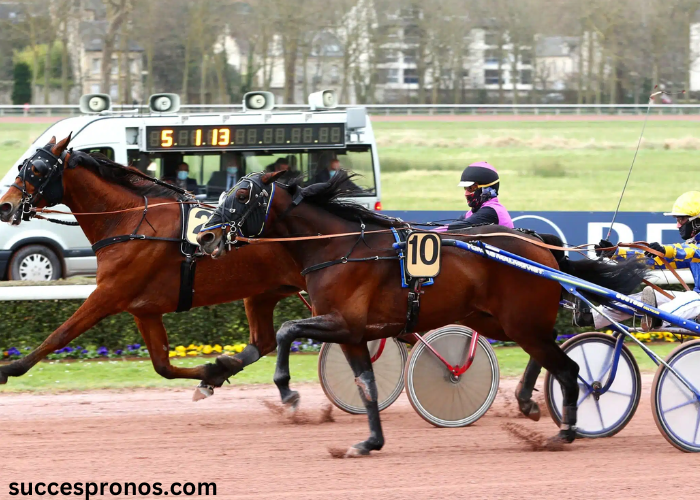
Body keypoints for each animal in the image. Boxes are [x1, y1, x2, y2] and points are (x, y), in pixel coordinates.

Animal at [0, 136, 306, 386]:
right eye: (23, 166)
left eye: (37, 169)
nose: (5, 206)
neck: (130, 220)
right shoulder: (145, 310)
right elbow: (163, 366)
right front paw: (212, 372)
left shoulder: (109, 294)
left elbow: (60, 335)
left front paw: (9, 369)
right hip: (262, 293)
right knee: (263, 341)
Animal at [197, 170, 644, 456]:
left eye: (241, 196)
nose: (205, 236)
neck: (339, 247)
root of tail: (542, 247)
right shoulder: (353, 334)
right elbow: (367, 386)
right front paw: (369, 442)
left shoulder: (342, 323)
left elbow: (287, 330)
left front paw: (288, 392)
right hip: (503, 322)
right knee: (548, 356)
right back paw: (528, 403)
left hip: (521, 322)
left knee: (568, 368)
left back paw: (565, 431)